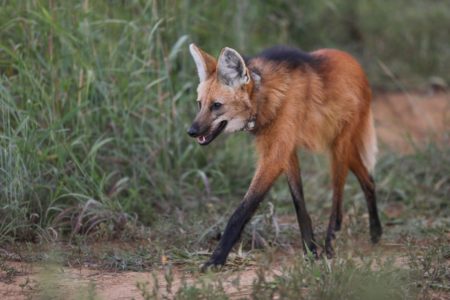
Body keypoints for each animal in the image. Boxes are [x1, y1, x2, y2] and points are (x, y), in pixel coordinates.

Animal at [188, 42, 382, 270]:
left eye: (216, 105)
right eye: (200, 104)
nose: (191, 131)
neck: (266, 98)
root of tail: (356, 64)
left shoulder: (275, 155)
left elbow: (242, 210)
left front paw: (216, 259)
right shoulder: (286, 151)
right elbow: (299, 203)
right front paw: (310, 250)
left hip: (339, 148)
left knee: (338, 197)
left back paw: (331, 241)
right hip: (340, 144)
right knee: (368, 179)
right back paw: (376, 232)